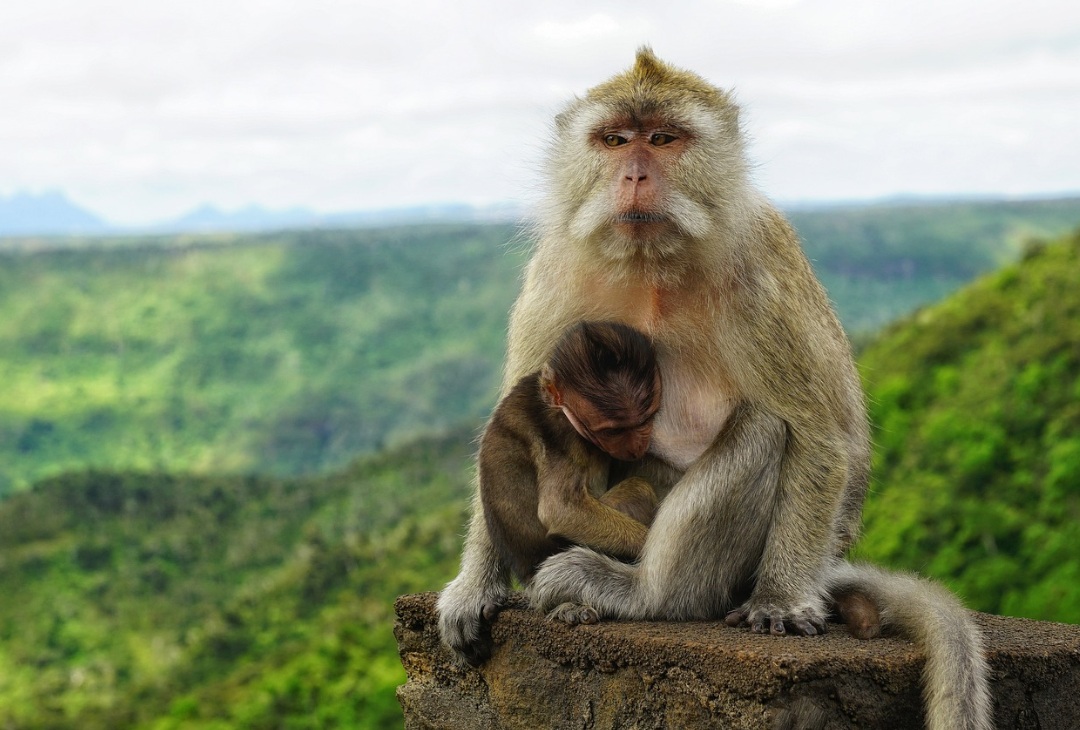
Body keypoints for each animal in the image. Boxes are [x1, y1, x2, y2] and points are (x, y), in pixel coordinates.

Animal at [479, 319, 656, 591]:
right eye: (614, 431)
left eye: (644, 420)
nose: (637, 447)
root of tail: (527, 573)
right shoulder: (563, 436)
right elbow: (560, 509)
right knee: (638, 490)